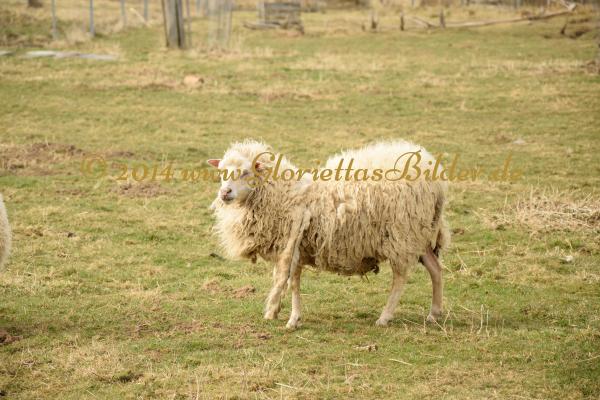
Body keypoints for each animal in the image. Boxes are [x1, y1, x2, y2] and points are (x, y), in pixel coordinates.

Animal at [208, 140, 449, 329]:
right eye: (221, 173)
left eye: (246, 172)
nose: (225, 193)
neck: (283, 195)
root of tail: (435, 178)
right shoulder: (295, 248)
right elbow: (287, 279)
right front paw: (276, 311)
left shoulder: (291, 246)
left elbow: (290, 282)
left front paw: (290, 319)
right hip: (419, 234)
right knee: (435, 269)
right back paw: (434, 314)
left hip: (402, 234)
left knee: (400, 278)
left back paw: (385, 317)